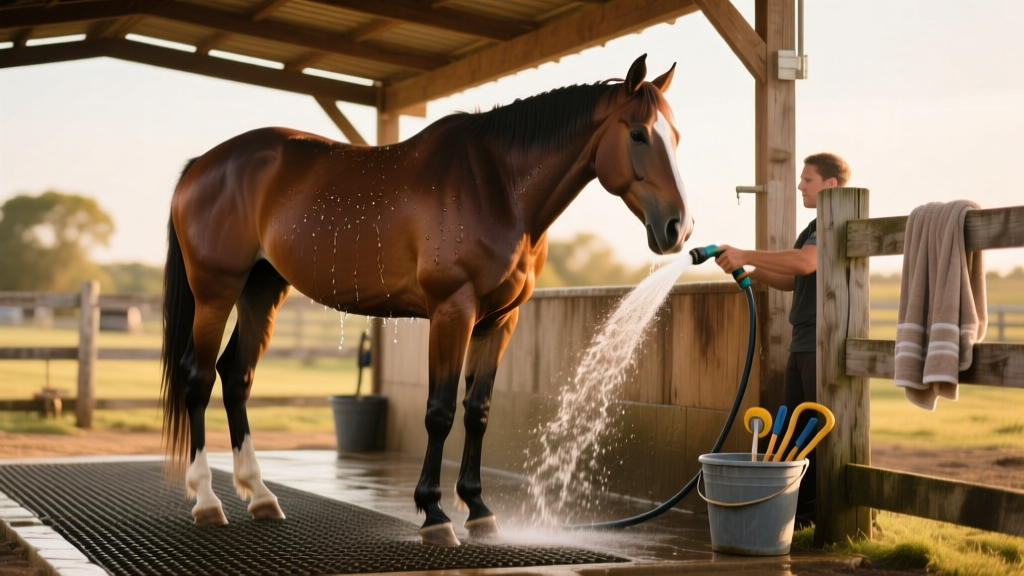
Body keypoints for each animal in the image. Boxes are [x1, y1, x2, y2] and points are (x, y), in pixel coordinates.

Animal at [160, 54, 693, 547]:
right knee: (199, 378)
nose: (678, 228)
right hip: (216, 292)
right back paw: (206, 500)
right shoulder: (452, 311)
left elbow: (478, 410)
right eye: (639, 135)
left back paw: (261, 496)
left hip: (261, 291)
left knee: (236, 376)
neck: (497, 186)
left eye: (676, 136)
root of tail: (200, 166)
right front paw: (434, 514)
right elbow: (439, 412)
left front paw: (479, 510)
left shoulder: (499, 320)